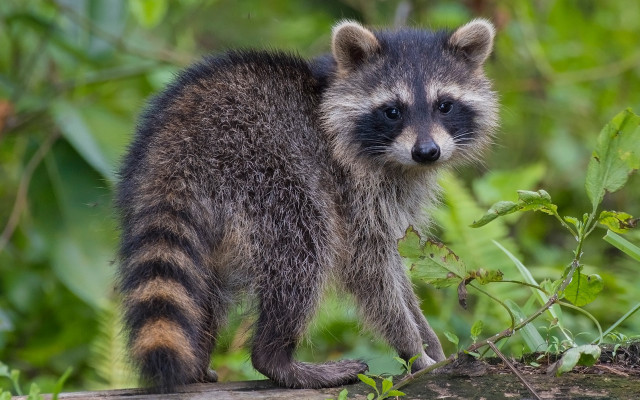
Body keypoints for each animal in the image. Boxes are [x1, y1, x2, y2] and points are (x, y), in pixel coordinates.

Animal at [116, 19, 498, 392]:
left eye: (444, 105)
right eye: (392, 112)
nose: (427, 152)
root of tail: (177, 145)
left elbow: (393, 261)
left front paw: (427, 337)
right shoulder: (351, 187)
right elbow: (369, 268)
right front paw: (412, 347)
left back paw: (198, 361)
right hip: (264, 173)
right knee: (303, 249)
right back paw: (276, 357)